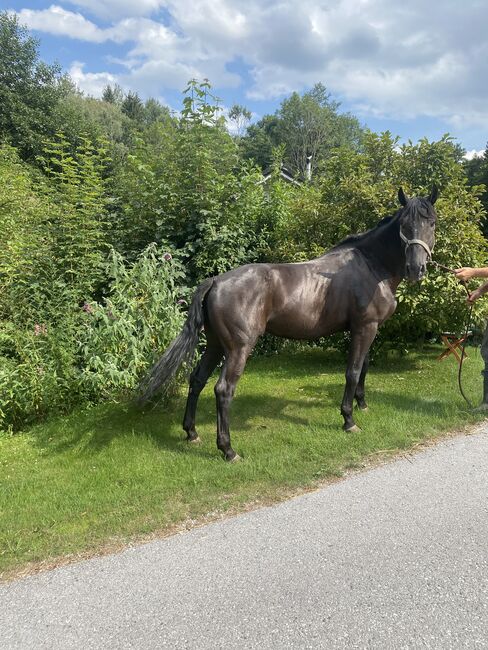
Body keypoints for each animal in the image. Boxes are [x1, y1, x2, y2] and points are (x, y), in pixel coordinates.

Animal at [140, 187, 438, 460]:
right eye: (404, 225)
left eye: (432, 223)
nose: (416, 269)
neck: (370, 266)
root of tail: (216, 281)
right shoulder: (365, 328)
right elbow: (352, 372)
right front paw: (349, 420)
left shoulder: (366, 328)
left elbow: (363, 367)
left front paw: (362, 404)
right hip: (238, 349)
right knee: (223, 390)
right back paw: (228, 450)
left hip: (214, 344)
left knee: (197, 380)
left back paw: (191, 433)